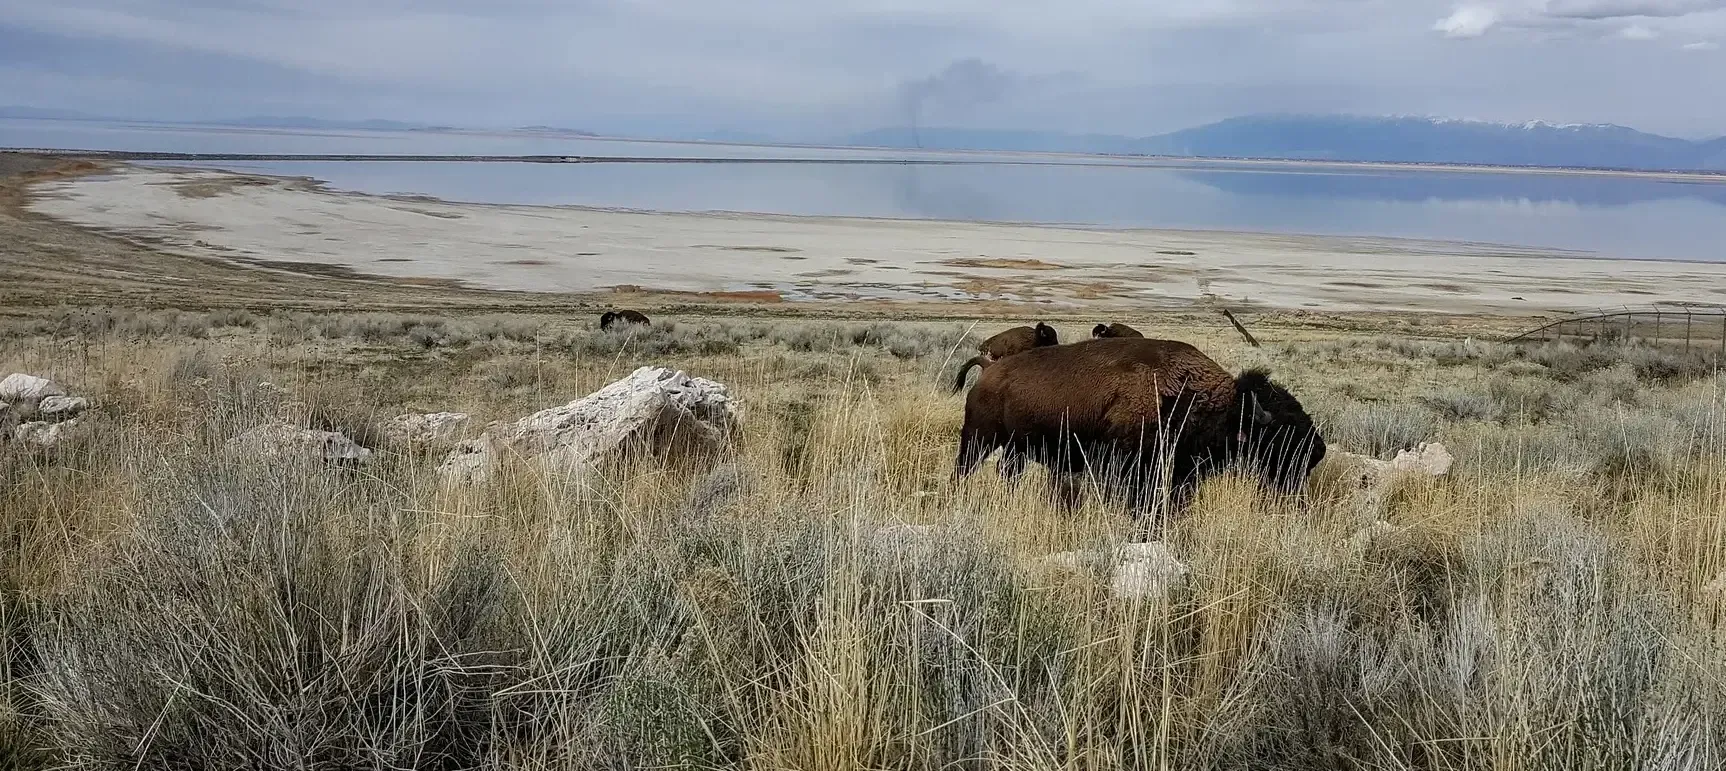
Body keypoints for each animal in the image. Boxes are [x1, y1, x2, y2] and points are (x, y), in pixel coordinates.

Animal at [955, 337, 1323, 515]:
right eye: (1280, 427)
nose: (1317, 450)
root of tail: (989, 368)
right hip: (979, 439)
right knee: (964, 471)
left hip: (1015, 448)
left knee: (1007, 472)